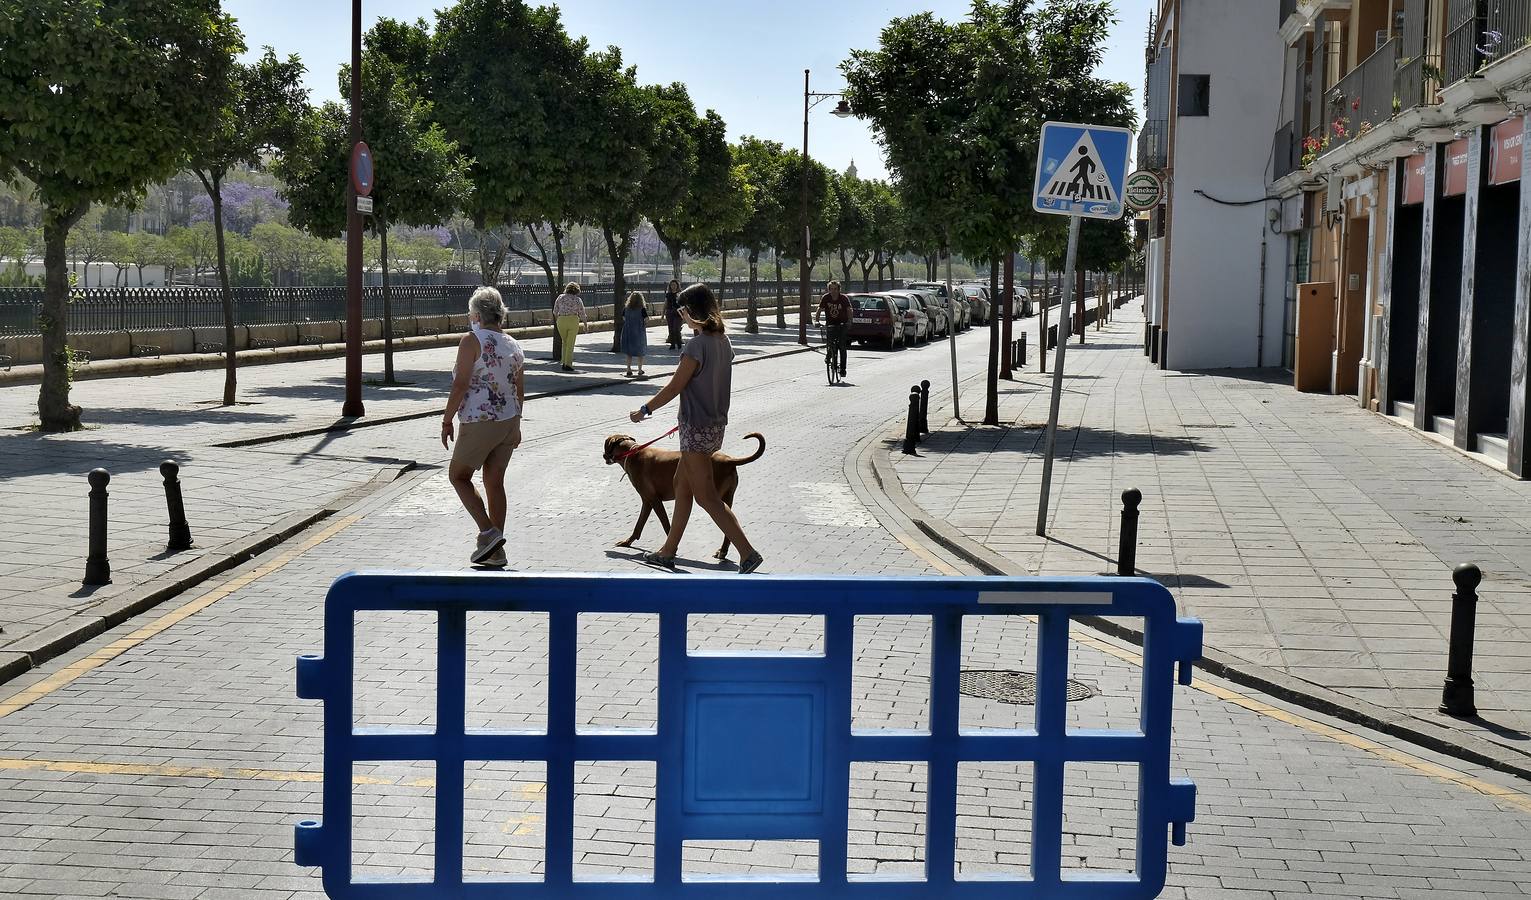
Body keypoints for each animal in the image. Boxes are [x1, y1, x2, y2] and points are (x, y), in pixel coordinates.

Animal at [597, 428, 765, 554]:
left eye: (605, 445)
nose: (603, 455)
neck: (632, 452)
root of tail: (728, 460)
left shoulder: (654, 500)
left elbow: (666, 525)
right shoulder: (647, 500)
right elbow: (639, 525)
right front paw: (628, 541)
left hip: (712, 495)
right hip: (727, 496)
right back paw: (724, 551)